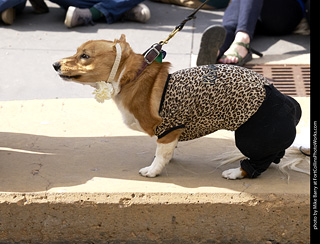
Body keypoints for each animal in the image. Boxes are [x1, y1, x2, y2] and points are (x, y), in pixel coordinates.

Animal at [53, 33, 302, 179]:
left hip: (251, 137)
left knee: (260, 162)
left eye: (85, 56)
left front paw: (153, 170)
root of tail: (288, 103)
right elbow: (166, 152)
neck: (131, 77)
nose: (55, 64)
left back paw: (236, 172)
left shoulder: (168, 129)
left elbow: (160, 155)